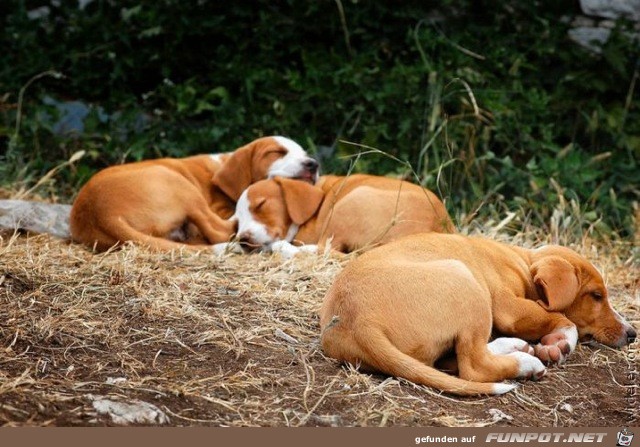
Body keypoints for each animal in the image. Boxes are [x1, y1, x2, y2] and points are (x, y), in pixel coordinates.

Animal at [71, 135, 318, 254]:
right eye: (277, 152)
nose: (313, 164)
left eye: (304, 154)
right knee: (219, 231)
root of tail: (101, 213)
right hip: (180, 184)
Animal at [232, 176, 452, 260]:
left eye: (261, 205)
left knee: (326, 250)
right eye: (238, 222)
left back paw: (283, 248)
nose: (243, 240)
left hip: (348, 204)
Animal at [320, 233, 636, 398]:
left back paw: (515, 347)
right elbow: (565, 321)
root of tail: (358, 320)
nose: (633, 334)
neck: (524, 263)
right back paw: (526, 362)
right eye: (596, 296)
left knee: (453, 360)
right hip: (467, 282)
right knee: (473, 365)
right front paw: (559, 343)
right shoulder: (508, 308)